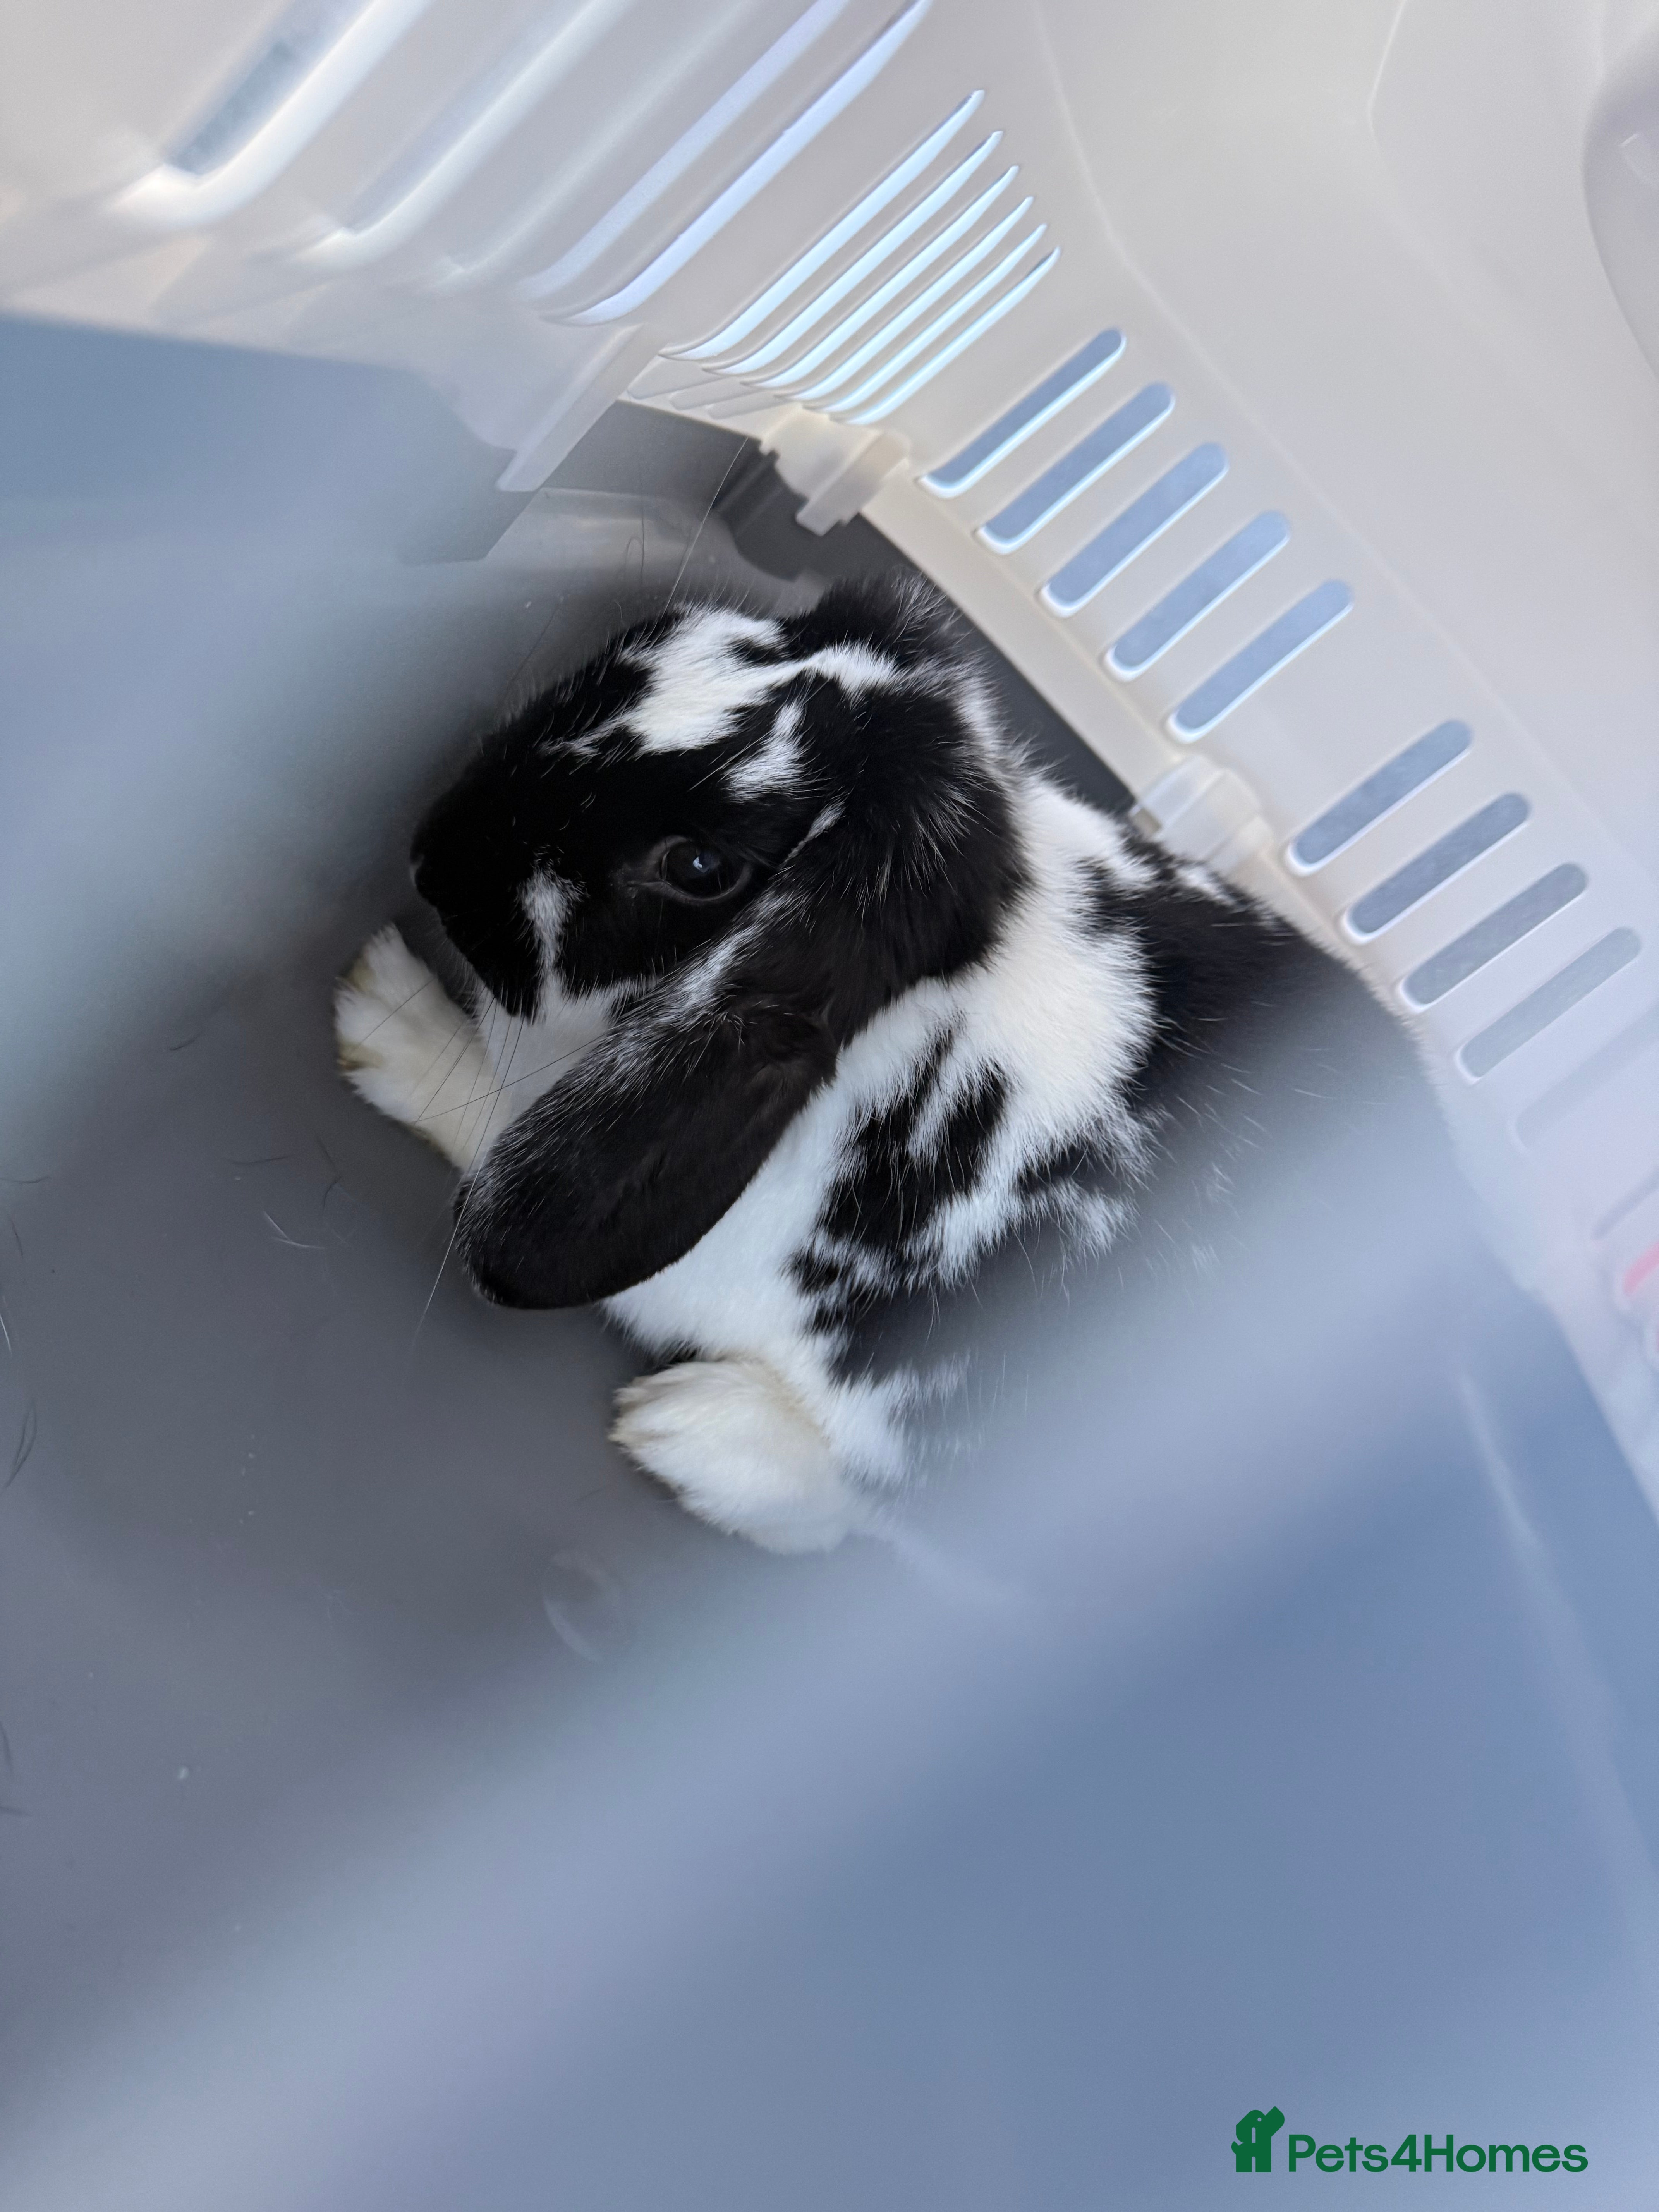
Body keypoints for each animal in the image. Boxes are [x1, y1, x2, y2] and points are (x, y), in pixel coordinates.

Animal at [336, 574, 1461, 1554]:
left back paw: (689, 1433)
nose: (430, 854)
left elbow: (495, 1122)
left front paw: (383, 1011)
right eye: (644, 639)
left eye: (698, 867)